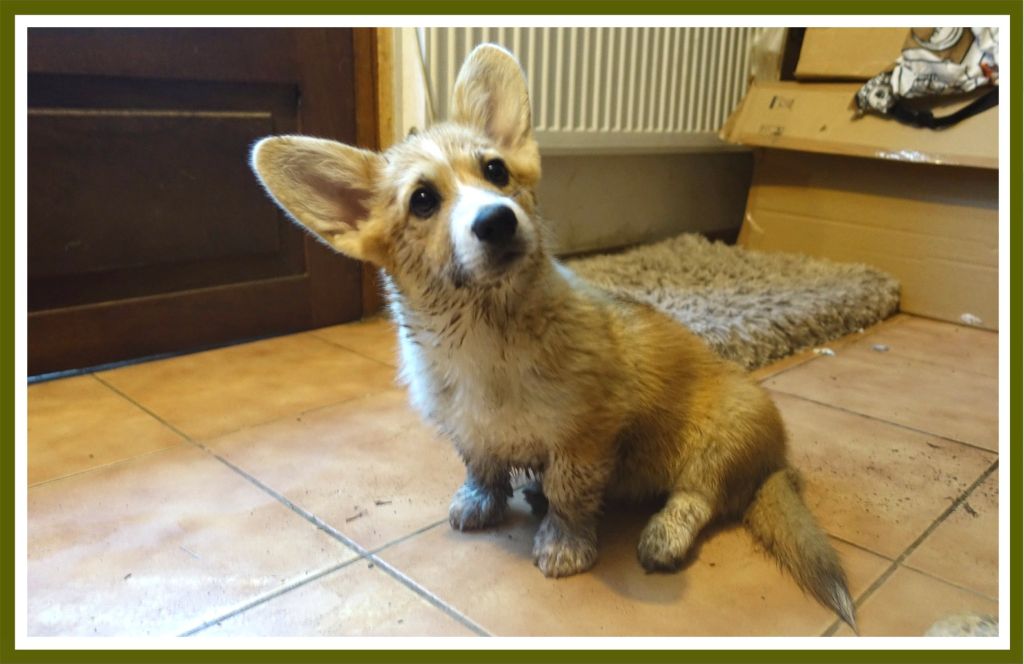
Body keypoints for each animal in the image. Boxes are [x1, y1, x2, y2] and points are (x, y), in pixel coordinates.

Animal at [249, 43, 857, 631]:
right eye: (422, 200)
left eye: (495, 170)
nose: (497, 220)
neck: (488, 334)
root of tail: (775, 465)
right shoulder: (468, 429)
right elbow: (481, 466)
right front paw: (481, 502)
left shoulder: (584, 436)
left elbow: (571, 492)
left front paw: (564, 545)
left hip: (724, 434)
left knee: (699, 495)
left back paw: (663, 534)